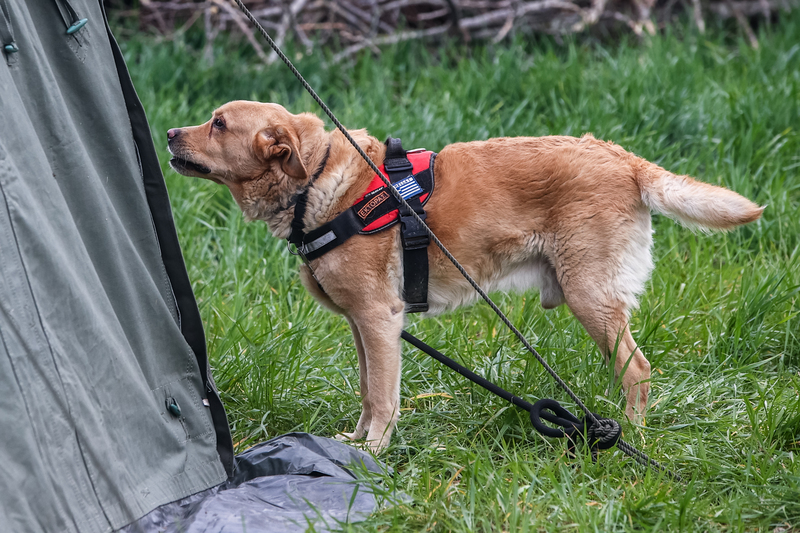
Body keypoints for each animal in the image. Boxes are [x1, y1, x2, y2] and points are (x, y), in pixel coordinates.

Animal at [167, 101, 764, 454]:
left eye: (218, 124)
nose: (169, 131)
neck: (316, 182)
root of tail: (622, 157)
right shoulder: (363, 327)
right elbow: (366, 391)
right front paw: (352, 443)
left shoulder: (380, 322)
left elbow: (383, 396)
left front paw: (374, 452)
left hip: (590, 297)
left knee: (637, 370)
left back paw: (630, 438)